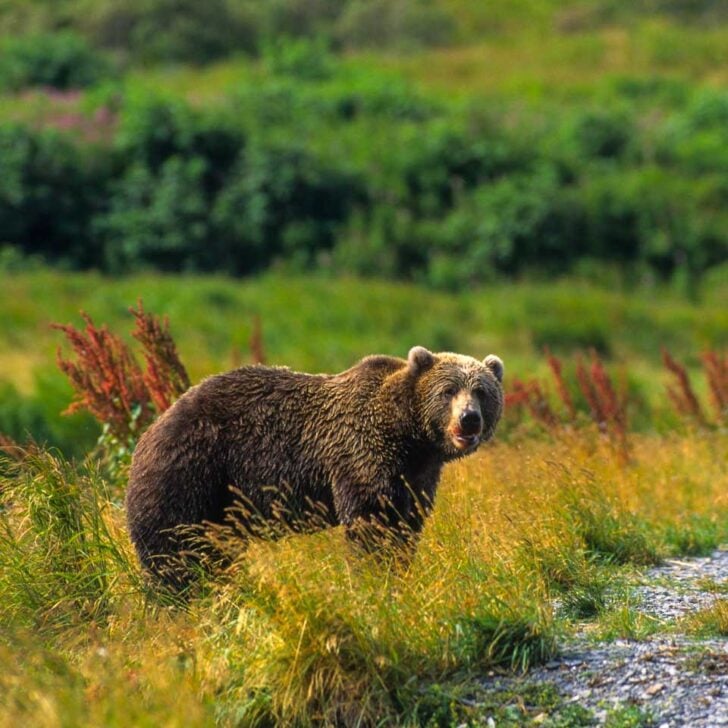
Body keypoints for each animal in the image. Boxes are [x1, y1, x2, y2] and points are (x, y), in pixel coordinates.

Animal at [125, 346, 504, 588]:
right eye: (448, 390)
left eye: (481, 391)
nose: (469, 419)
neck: (408, 436)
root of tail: (148, 431)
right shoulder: (361, 454)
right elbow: (370, 521)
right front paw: (373, 576)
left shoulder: (416, 475)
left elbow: (405, 524)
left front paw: (399, 569)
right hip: (192, 471)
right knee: (175, 544)